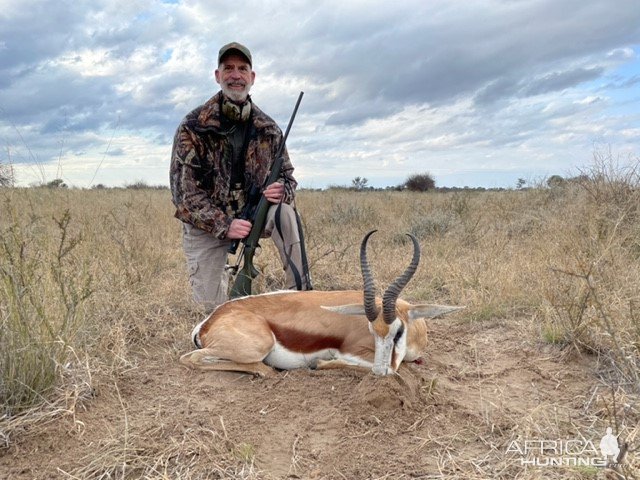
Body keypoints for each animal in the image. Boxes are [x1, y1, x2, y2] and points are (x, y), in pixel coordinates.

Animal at [178, 231, 462, 376]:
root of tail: (209, 322)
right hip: (257, 346)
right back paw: (266, 370)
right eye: (371, 330)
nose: (380, 372)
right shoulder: (351, 352)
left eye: (398, 331)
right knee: (190, 358)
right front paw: (319, 364)